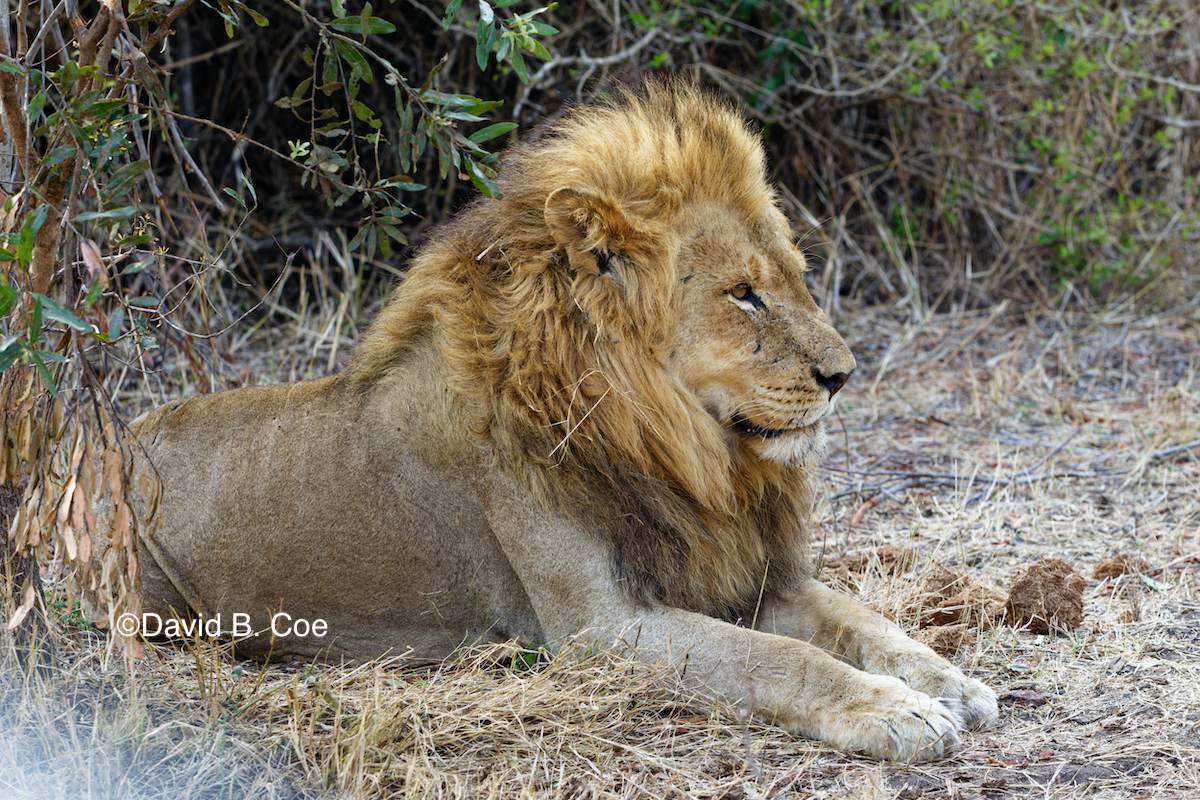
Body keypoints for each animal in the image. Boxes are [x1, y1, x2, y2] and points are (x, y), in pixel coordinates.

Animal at [126, 81, 998, 762]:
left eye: (793, 279)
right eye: (743, 294)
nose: (843, 376)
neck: (683, 453)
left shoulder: (736, 571)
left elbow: (859, 619)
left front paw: (952, 682)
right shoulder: (599, 629)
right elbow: (779, 659)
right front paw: (896, 710)